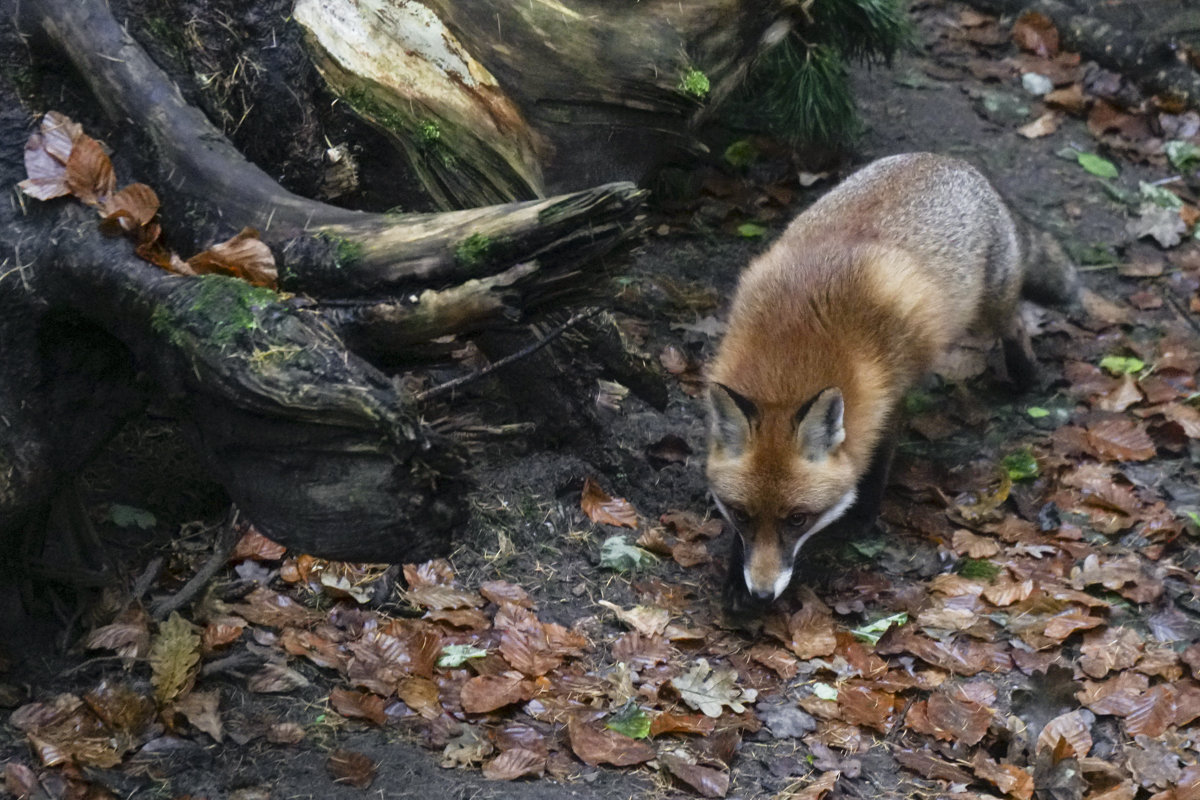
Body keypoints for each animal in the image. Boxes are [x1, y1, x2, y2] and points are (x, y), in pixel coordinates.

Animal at [700, 151, 1080, 614]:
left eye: (798, 519)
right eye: (741, 515)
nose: (762, 593)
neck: (792, 349)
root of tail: (950, 160)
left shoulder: (891, 392)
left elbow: (878, 458)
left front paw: (862, 515)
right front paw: (735, 576)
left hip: (990, 306)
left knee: (1016, 323)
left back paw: (1026, 376)